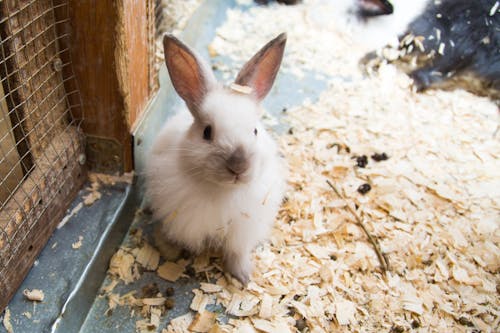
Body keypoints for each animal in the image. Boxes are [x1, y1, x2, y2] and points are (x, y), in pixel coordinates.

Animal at [145, 33, 288, 282]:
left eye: (255, 131)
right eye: (207, 132)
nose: (238, 166)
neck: (223, 191)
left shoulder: (241, 232)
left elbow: (237, 253)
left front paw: (243, 277)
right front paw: (170, 253)